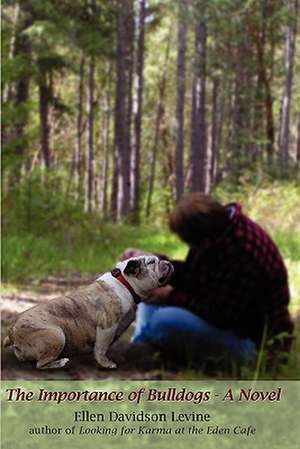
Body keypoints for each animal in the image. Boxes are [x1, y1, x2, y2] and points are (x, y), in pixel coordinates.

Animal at [3, 258, 173, 370]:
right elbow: (101, 348)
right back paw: (60, 362)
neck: (124, 282)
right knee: (40, 364)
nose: (167, 261)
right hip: (56, 335)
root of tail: (13, 332)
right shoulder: (107, 327)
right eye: (151, 262)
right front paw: (106, 363)